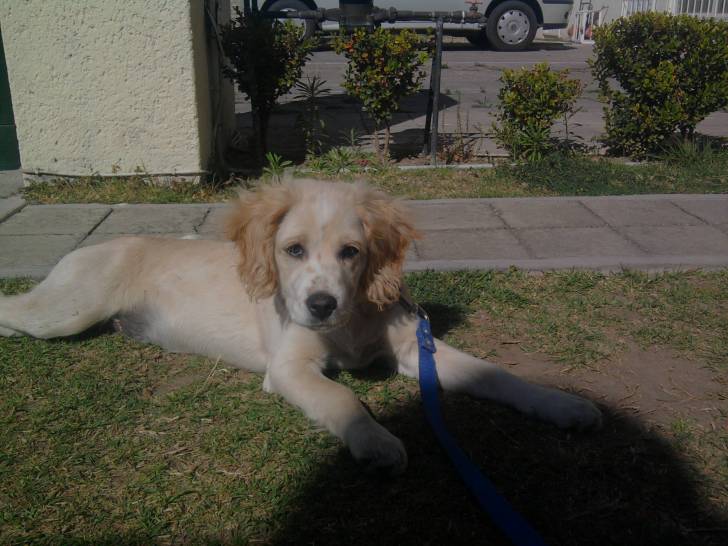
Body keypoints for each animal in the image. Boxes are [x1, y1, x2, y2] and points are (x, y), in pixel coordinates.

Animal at [0, 180, 601, 474]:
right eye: (292, 250)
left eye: (351, 252)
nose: (319, 304)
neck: (353, 319)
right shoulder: (288, 367)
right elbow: (342, 399)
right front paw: (375, 440)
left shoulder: (417, 349)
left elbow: (496, 375)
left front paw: (562, 404)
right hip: (67, 310)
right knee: (15, 307)